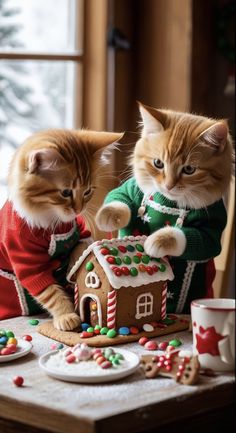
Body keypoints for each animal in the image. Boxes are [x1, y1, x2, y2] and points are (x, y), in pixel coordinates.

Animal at [0, 128, 121, 330]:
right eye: (65, 192)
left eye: (88, 191)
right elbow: (51, 293)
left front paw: (73, 268)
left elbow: (81, 249)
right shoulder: (28, 263)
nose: (79, 209)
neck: (51, 220)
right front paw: (66, 315)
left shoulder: (82, 232)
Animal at [96, 104, 234, 314]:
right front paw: (110, 216)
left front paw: (156, 241)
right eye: (158, 163)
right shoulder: (132, 188)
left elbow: (192, 238)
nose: (168, 186)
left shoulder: (212, 226)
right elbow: (119, 197)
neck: (169, 202)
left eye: (189, 170)